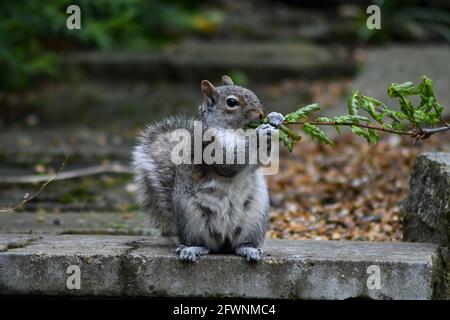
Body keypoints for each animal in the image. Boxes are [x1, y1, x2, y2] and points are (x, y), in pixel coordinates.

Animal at [132, 75, 284, 262]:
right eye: (232, 102)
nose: (262, 114)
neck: (237, 132)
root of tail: (224, 241)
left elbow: (260, 160)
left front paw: (275, 118)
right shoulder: (208, 145)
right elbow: (229, 163)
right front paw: (260, 133)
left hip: (255, 219)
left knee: (239, 245)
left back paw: (249, 249)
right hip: (191, 220)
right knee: (205, 245)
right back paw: (192, 249)